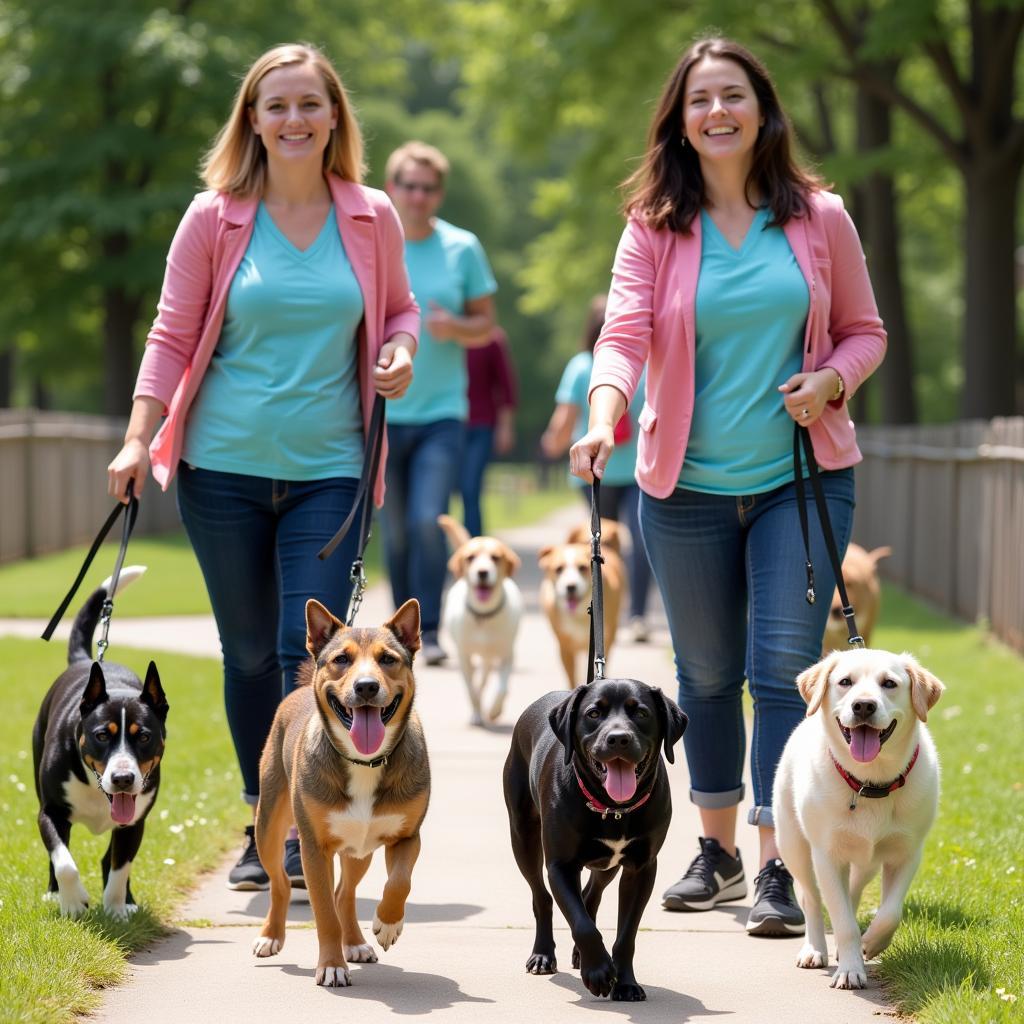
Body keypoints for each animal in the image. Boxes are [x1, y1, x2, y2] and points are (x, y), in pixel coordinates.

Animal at [32, 569, 167, 921]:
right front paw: (72, 902)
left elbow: (120, 866)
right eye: (102, 735)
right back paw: (54, 893)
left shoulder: (134, 821)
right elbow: (64, 862)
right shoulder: (50, 811)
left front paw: (117, 910)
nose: (123, 779)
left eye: (144, 736)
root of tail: (89, 661)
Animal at [258, 598, 434, 987]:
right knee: (280, 882)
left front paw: (388, 924)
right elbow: (323, 911)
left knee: (345, 893)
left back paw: (354, 942)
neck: (364, 762)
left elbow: (400, 881)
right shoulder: (313, 848)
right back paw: (271, 935)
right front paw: (332, 966)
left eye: (388, 658)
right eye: (341, 659)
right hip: (269, 825)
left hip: (359, 848)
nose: (366, 687)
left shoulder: (407, 836)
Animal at [438, 516, 524, 724]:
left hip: (490, 656)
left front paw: (494, 711)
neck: (484, 616)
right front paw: (477, 713)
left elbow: (502, 688)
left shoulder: (507, 655)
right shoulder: (464, 656)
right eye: (471, 558)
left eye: (495, 557)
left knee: (486, 678)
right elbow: (471, 690)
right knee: (478, 683)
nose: (482, 572)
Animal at [536, 520, 622, 688]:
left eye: (582, 568)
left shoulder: (607, 639)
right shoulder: (565, 648)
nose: (571, 587)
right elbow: (571, 677)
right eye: (559, 569)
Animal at [774, 647, 942, 991]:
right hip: (794, 846)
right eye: (845, 682)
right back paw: (814, 949)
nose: (863, 705)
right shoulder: (826, 856)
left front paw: (871, 943)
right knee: (811, 898)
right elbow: (842, 921)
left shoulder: (907, 854)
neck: (870, 783)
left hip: (867, 864)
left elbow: (890, 912)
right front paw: (851, 969)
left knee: (852, 892)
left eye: (889, 683)